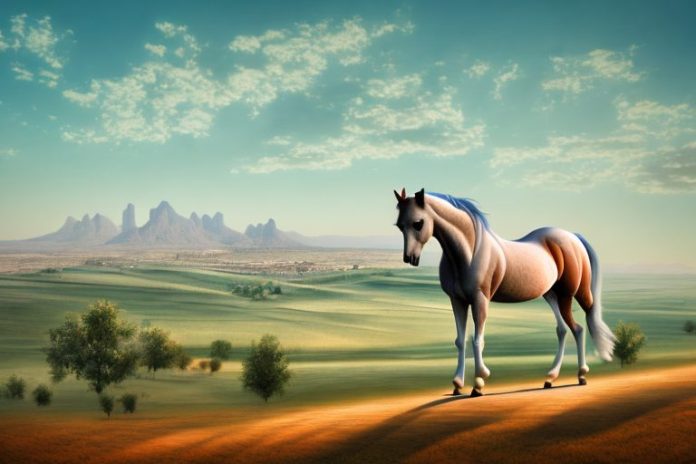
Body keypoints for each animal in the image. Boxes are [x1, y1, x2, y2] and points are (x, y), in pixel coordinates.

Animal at [393, 188, 615, 397]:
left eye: (418, 223)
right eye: (399, 226)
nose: (409, 258)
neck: (470, 252)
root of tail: (573, 237)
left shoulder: (480, 300)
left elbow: (477, 340)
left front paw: (479, 383)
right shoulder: (457, 301)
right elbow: (460, 341)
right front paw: (457, 385)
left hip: (569, 295)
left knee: (579, 328)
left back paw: (581, 375)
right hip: (551, 295)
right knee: (563, 330)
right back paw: (550, 378)